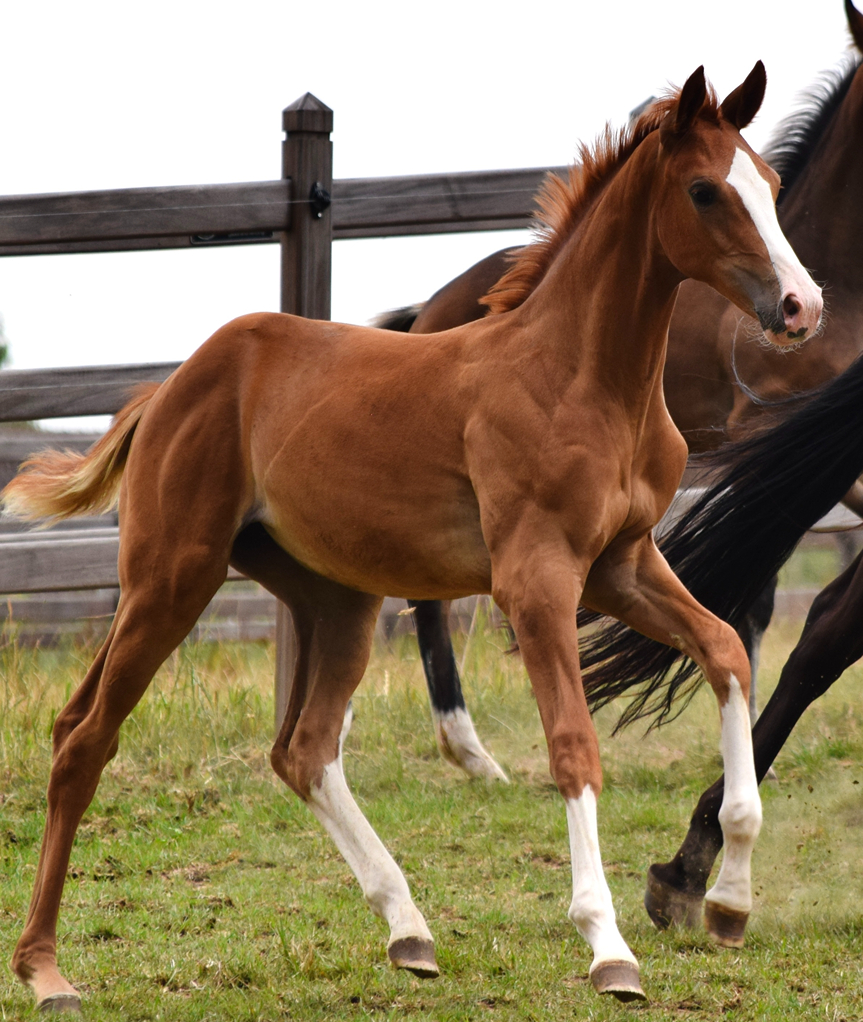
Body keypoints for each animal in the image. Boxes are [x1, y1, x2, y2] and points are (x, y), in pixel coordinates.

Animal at [5, 65, 822, 1012]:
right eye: (702, 190)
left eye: (767, 183)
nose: (800, 306)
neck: (582, 378)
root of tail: (169, 388)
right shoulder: (536, 578)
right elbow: (573, 746)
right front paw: (608, 947)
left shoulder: (622, 566)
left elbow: (724, 650)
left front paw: (728, 900)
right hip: (171, 574)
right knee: (86, 739)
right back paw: (45, 971)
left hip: (334, 597)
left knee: (300, 748)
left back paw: (409, 930)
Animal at [376, 0, 863, 780]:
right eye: (704, 191)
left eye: (770, 187)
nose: (798, 308)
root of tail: (432, 306)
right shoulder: (766, 434)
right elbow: (755, 586)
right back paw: (470, 751)